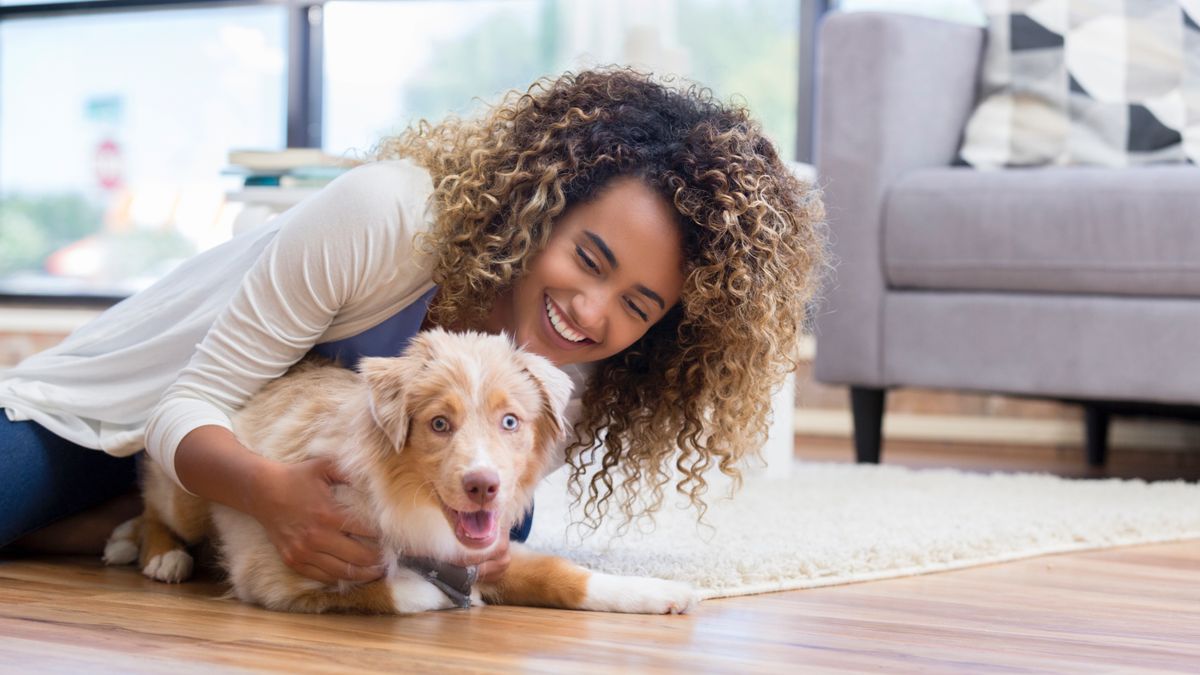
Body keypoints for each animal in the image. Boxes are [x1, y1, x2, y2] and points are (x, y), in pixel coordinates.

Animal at [110, 326, 700, 614]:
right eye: (439, 423)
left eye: (510, 420)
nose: (483, 486)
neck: (409, 502)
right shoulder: (274, 575)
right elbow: (390, 589)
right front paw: (442, 594)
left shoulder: (484, 552)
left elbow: (565, 575)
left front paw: (660, 592)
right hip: (187, 492)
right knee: (153, 506)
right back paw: (154, 553)